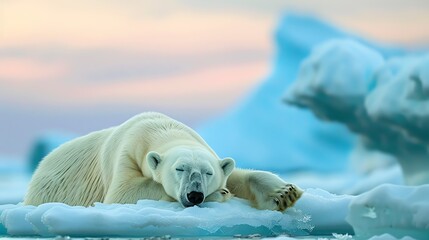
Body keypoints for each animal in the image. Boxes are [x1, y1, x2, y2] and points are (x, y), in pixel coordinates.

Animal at [25, 111, 302, 211]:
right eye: (179, 169)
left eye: (208, 172)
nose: (195, 194)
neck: (158, 128)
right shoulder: (127, 153)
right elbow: (123, 193)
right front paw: (221, 193)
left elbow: (236, 174)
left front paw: (284, 193)